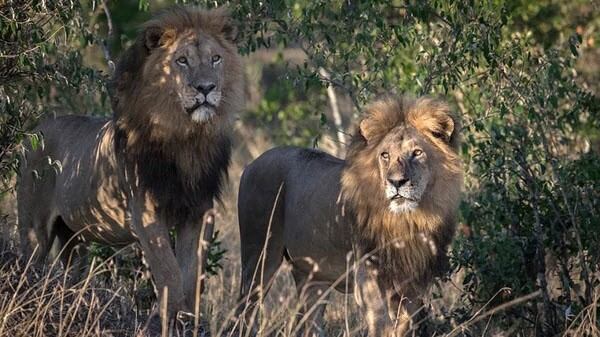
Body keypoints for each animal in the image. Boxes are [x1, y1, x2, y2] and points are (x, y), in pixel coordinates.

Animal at [18, 6, 244, 318]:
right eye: (182, 61)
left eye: (216, 58)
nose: (206, 88)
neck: (186, 138)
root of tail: (34, 132)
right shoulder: (145, 213)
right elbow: (170, 273)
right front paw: (171, 317)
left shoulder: (199, 211)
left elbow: (191, 276)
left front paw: (188, 318)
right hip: (34, 230)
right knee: (28, 266)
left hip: (73, 237)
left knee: (71, 271)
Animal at [237, 95, 462, 336]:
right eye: (385, 155)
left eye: (417, 153)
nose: (396, 182)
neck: (405, 221)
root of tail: (250, 164)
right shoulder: (367, 277)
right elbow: (381, 323)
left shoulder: (412, 282)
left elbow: (404, 324)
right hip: (259, 258)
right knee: (243, 311)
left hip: (312, 278)